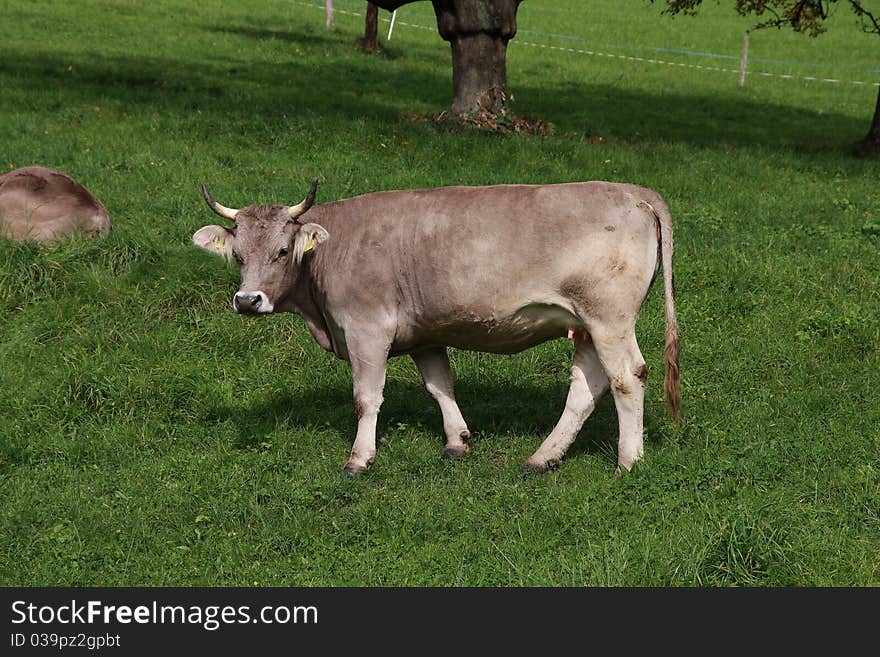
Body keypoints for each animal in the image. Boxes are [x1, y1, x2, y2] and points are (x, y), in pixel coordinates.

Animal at [194, 179, 680, 474]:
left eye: (281, 251)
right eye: (238, 254)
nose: (247, 300)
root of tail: (633, 191)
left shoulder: (367, 329)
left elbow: (366, 398)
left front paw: (359, 458)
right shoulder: (424, 332)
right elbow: (440, 386)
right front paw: (457, 441)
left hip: (610, 318)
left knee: (627, 378)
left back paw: (628, 461)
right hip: (586, 324)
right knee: (587, 386)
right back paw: (542, 457)